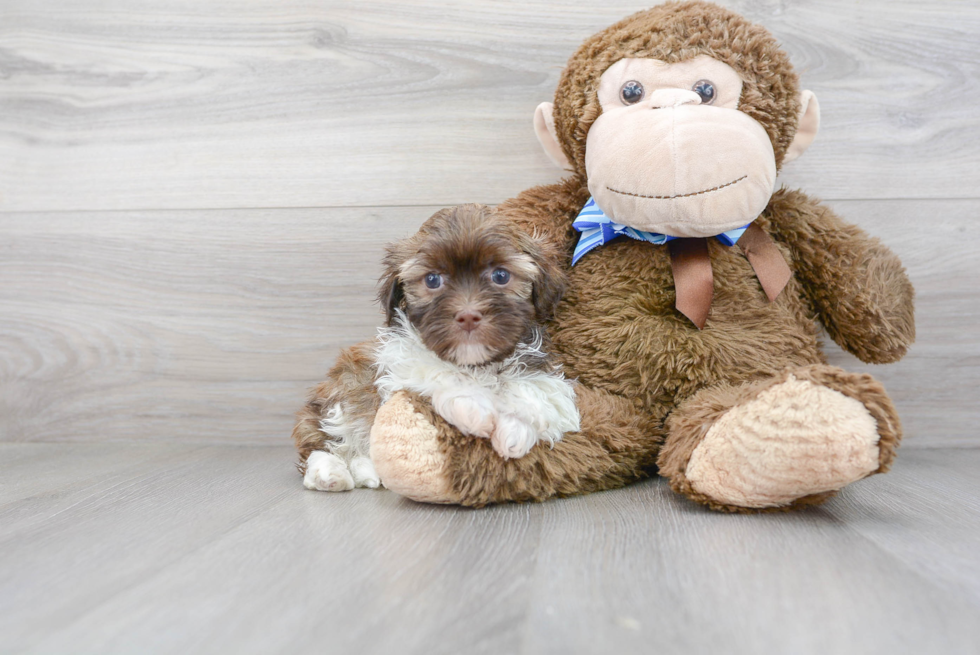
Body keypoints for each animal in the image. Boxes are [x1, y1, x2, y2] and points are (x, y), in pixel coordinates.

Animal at [294, 205, 580, 492]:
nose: (468, 316)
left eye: (501, 276)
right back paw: (329, 473)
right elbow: (437, 372)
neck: (476, 364)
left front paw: (515, 430)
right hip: (339, 398)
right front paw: (475, 408)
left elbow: (537, 392)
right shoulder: (399, 365)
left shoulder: (548, 382)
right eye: (432, 280)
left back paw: (367, 471)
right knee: (321, 443)